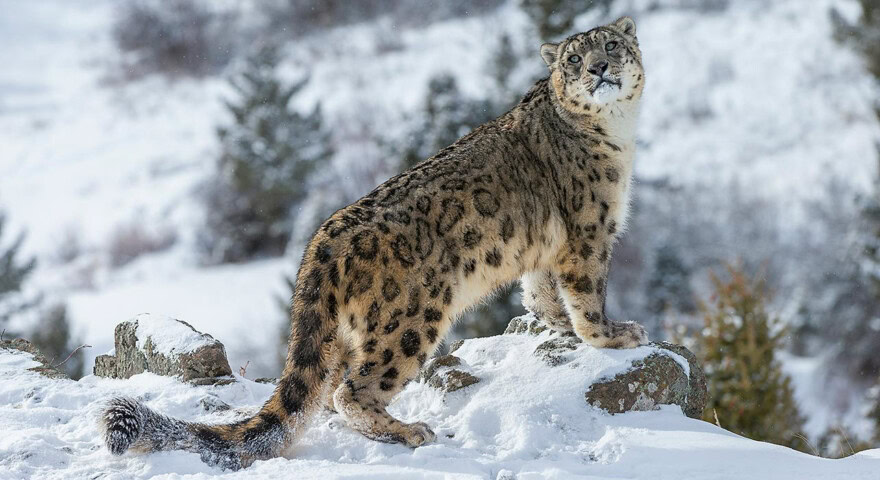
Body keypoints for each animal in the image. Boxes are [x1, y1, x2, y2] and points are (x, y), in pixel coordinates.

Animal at [100, 16, 648, 470]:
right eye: (574, 59)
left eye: (611, 45)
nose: (599, 68)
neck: (617, 134)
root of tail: (323, 240)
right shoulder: (589, 233)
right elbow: (586, 293)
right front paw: (613, 335)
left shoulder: (546, 248)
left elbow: (541, 292)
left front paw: (557, 325)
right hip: (410, 319)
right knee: (352, 391)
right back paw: (410, 431)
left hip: (348, 334)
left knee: (326, 390)